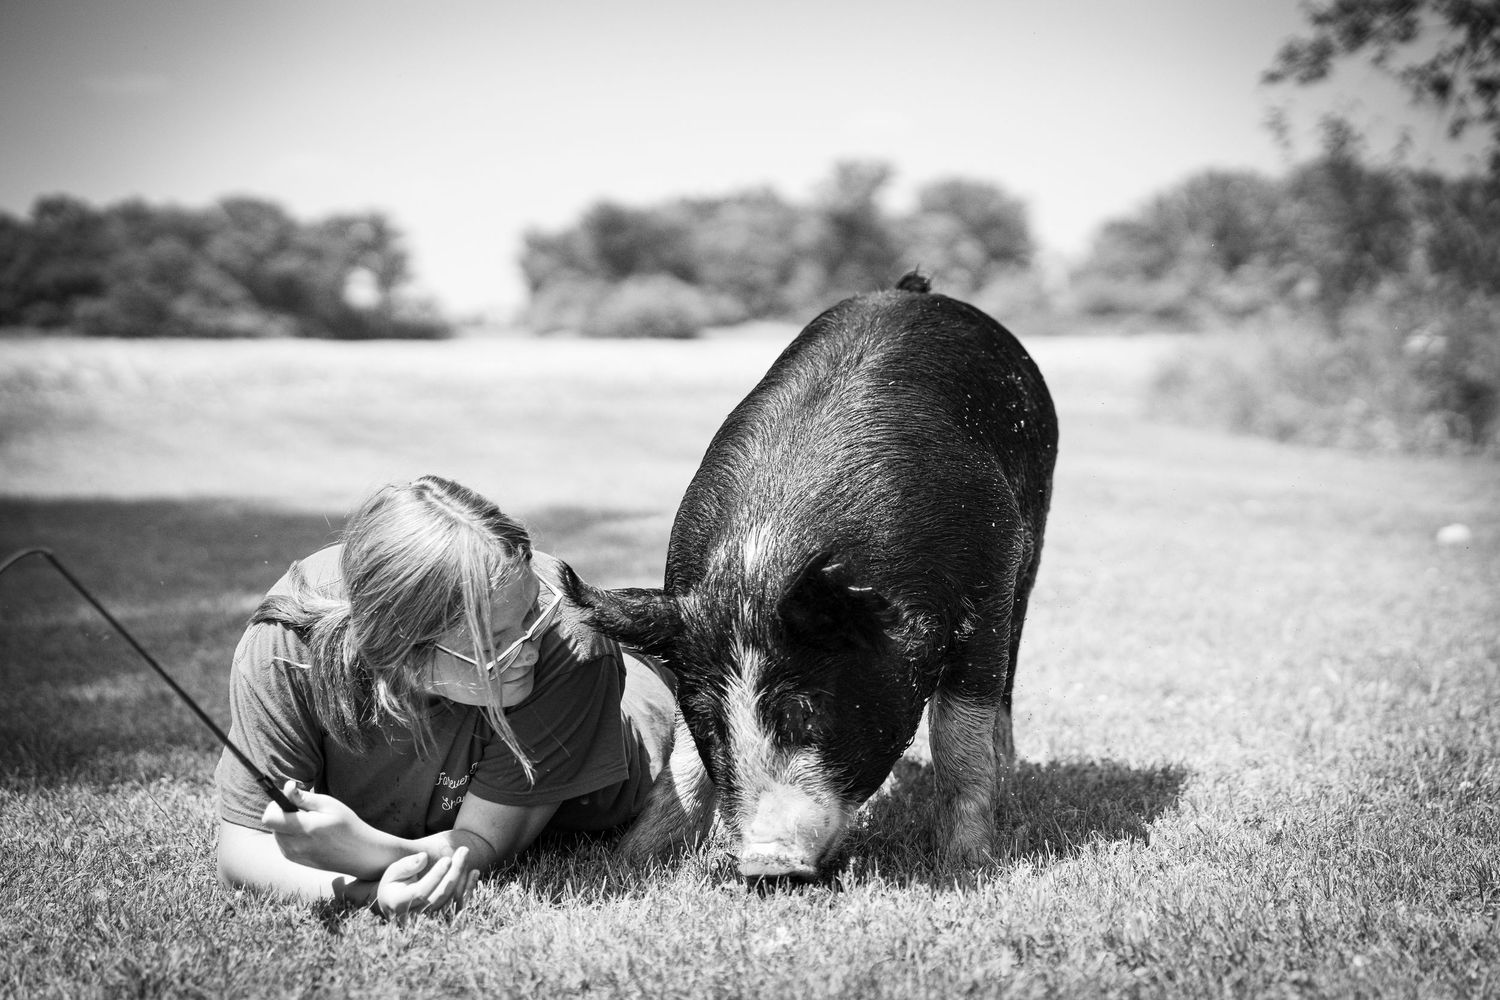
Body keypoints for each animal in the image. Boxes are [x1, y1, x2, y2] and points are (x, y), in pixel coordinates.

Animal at [565, 272, 1057, 880]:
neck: (761, 562)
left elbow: (959, 735)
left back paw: (1009, 780)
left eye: (805, 711)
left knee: (1005, 680)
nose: (765, 863)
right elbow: (682, 759)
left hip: (1030, 546)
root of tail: (912, 288)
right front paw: (631, 859)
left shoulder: (987, 578)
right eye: (711, 724)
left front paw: (969, 863)